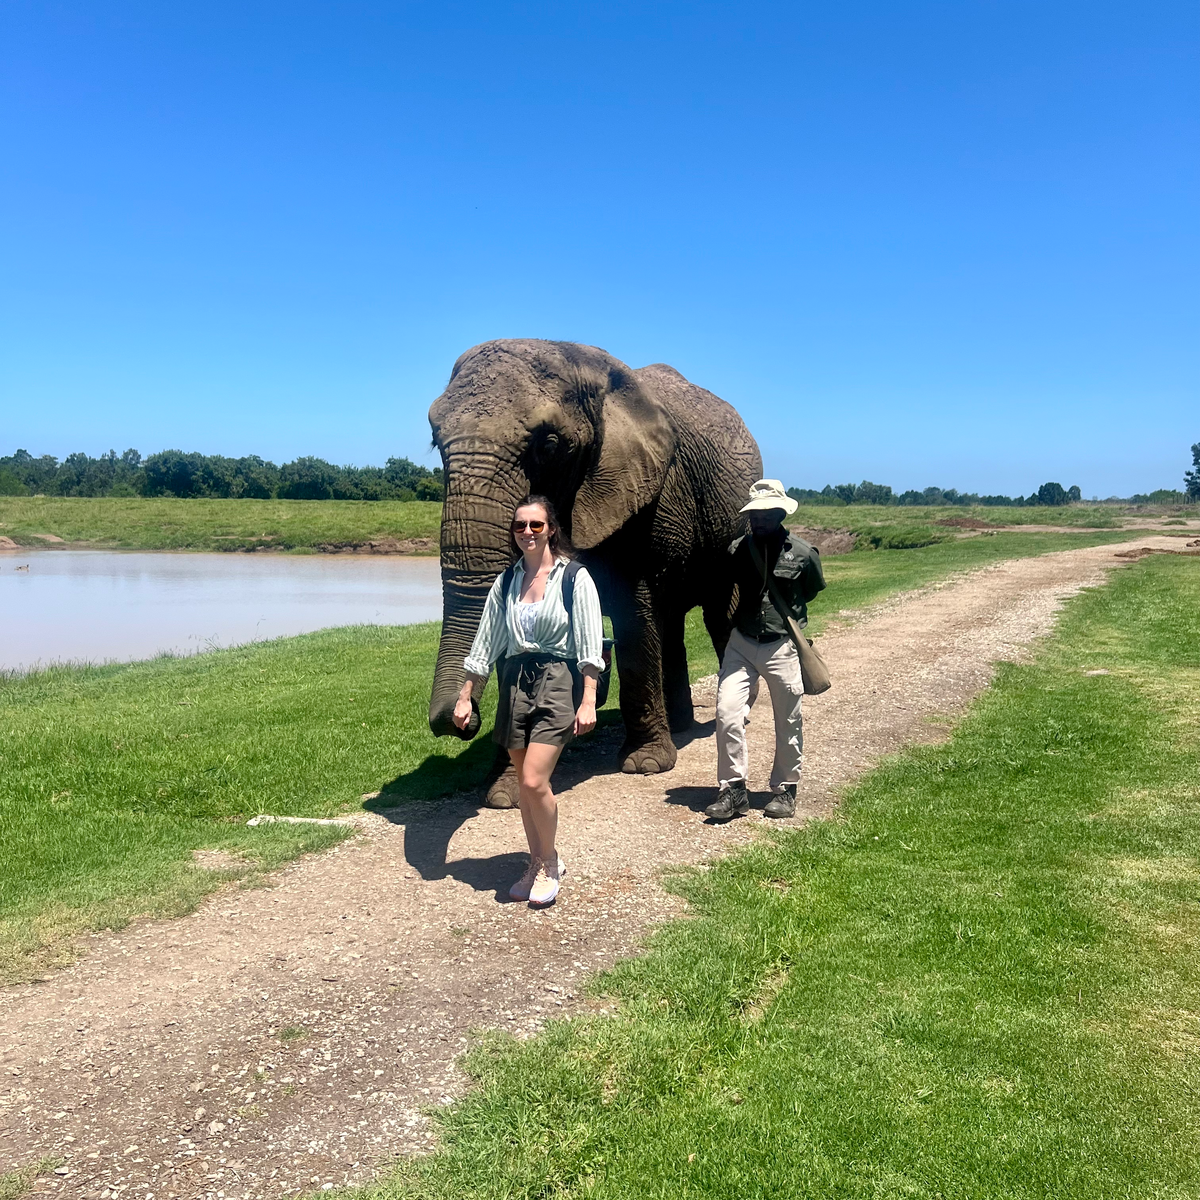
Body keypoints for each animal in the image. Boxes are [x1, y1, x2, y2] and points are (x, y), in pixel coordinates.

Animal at [427, 339, 763, 807]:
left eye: (549, 444)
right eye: (434, 439)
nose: (463, 720)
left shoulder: (646, 492)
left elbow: (632, 609)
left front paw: (645, 765)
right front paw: (502, 794)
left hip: (734, 526)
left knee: (718, 612)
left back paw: (736, 716)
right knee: (672, 620)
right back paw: (679, 725)